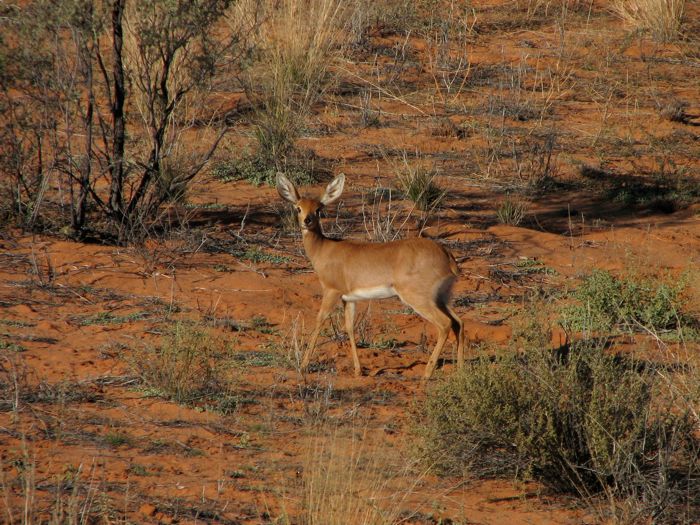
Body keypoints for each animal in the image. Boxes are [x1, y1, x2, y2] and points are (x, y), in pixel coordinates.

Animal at [274, 173, 464, 380]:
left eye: (318, 209)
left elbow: (319, 320)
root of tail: (447, 256)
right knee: (458, 322)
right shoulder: (348, 298)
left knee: (445, 324)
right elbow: (349, 327)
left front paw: (303, 365)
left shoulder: (331, 291)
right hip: (441, 298)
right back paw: (461, 371)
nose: (307, 221)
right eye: (298, 207)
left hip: (419, 298)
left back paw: (427, 373)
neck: (324, 249)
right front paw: (358, 370)